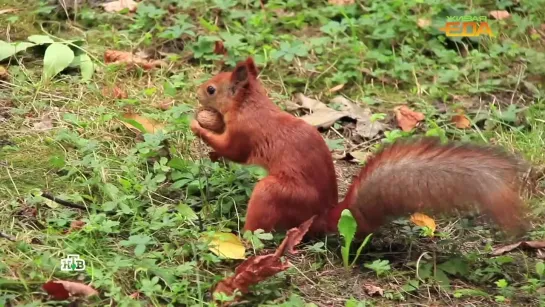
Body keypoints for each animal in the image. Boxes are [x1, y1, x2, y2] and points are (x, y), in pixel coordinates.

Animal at [191, 57, 528, 236]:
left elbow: (235, 151)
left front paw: (198, 127)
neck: (251, 104)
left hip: (276, 192)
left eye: (212, 89)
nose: (196, 92)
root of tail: (322, 216)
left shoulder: (246, 133)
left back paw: (240, 233)